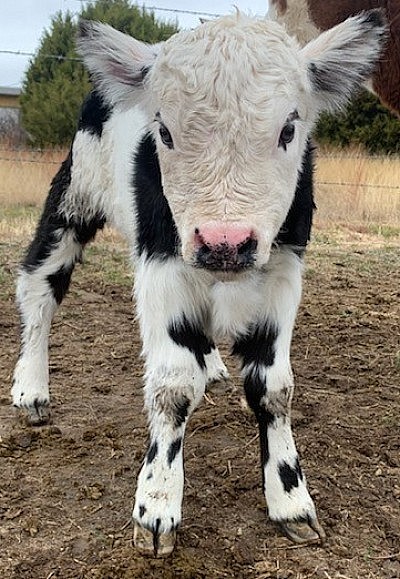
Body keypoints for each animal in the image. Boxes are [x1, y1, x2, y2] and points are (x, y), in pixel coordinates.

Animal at [14, 11, 386, 556]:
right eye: (164, 132)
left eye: (289, 128)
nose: (223, 242)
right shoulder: (162, 263)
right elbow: (172, 386)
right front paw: (156, 507)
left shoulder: (283, 267)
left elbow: (275, 387)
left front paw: (291, 501)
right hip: (73, 195)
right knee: (39, 289)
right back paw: (32, 387)